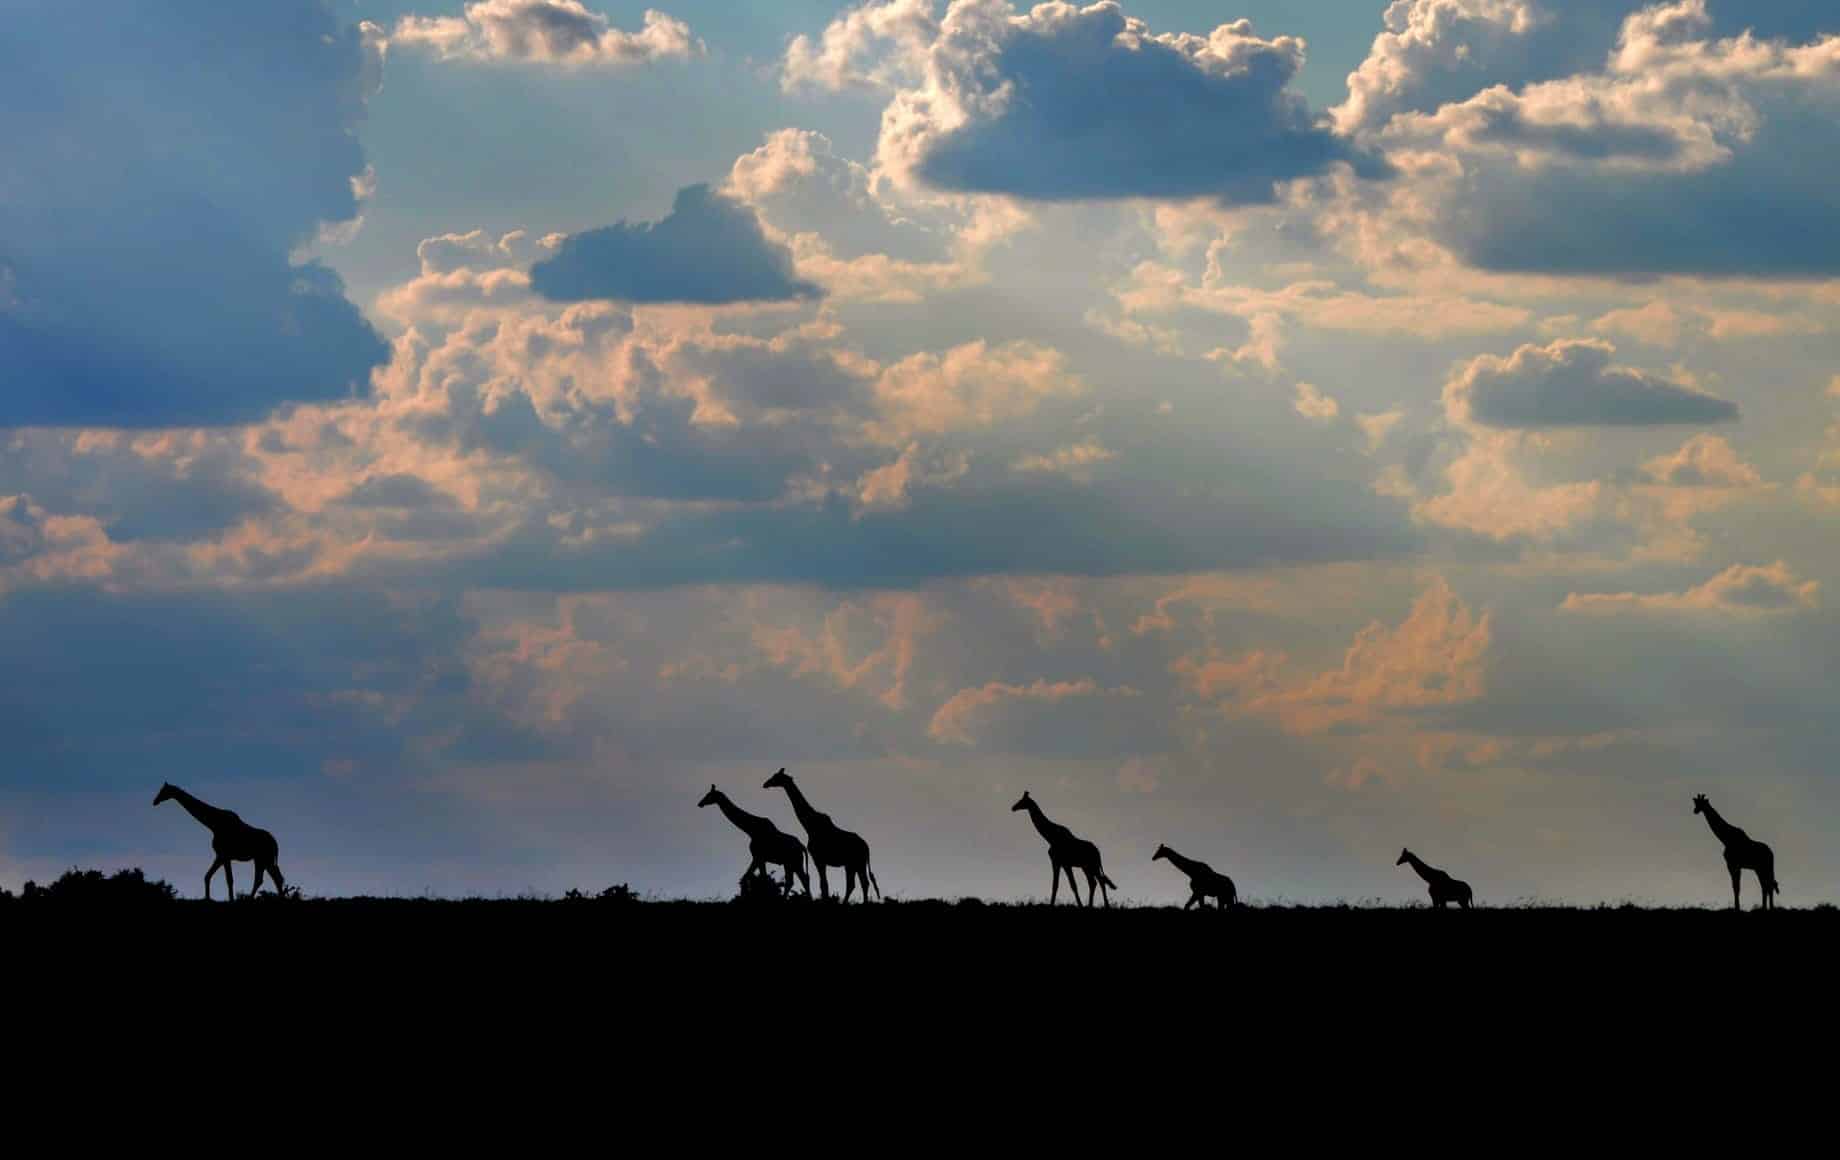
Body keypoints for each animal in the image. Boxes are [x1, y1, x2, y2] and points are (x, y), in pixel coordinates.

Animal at [151, 783, 286, 902]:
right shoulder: (220, 856)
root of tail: (275, 843)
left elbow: (229, 880)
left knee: (272, 878)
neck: (214, 825)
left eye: (163, 791)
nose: (154, 801)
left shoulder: (225, 855)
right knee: (268, 879)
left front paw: (231, 900)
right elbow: (208, 876)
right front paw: (207, 898)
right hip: (260, 860)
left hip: (265, 859)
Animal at [762, 768, 880, 903]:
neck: (809, 826)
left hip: (857, 863)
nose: (765, 784)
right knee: (858, 883)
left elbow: (823, 885)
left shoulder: (818, 859)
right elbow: (824, 885)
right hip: (853, 864)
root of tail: (867, 847)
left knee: (861, 883)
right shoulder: (820, 860)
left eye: (776, 777)